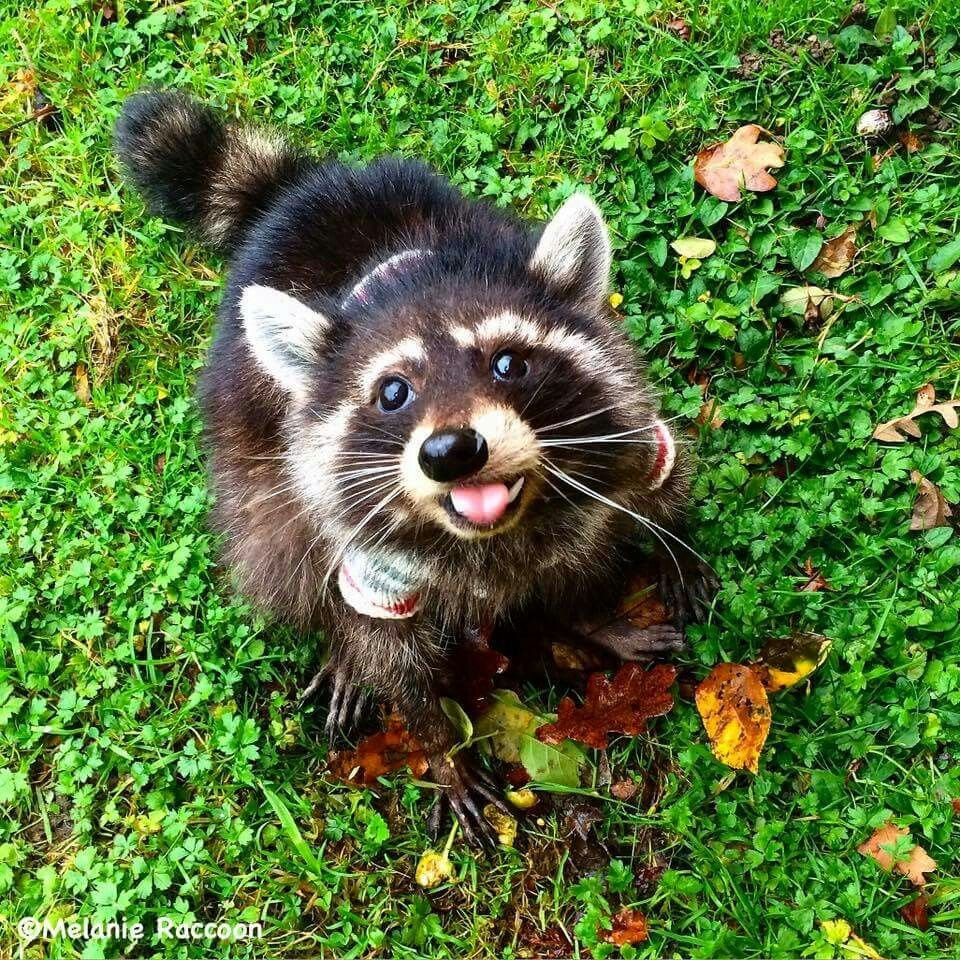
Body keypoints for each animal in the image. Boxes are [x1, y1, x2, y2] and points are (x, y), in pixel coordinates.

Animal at [115, 90, 715, 845]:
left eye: (508, 362)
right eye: (393, 392)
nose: (451, 451)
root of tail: (298, 192)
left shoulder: (621, 422)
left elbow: (658, 474)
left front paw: (670, 551)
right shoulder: (370, 552)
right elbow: (388, 645)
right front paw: (438, 744)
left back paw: (583, 620)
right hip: (252, 455)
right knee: (279, 539)